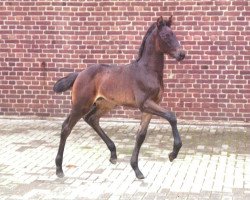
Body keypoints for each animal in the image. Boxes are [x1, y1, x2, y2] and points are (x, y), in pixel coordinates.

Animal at [53, 15, 186, 178]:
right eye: (166, 35)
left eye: (174, 34)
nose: (182, 54)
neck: (147, 70)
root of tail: (79, 74)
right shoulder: (145, 103)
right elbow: (171, 116)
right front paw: (173, 153)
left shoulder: (150, 106)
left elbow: (141, 135)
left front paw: (136, 169)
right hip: (80, 105)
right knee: (66, 127)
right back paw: (59, 168)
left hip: (105, 104)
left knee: (91, 119)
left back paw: (113, 153)